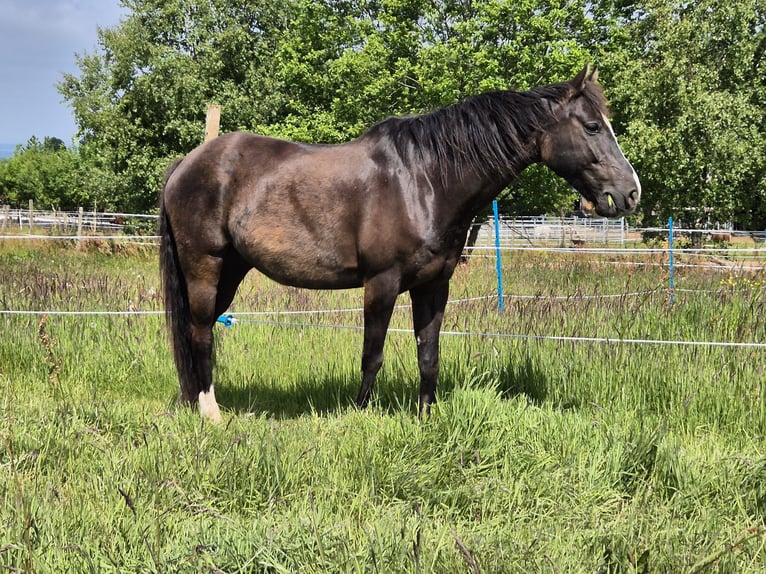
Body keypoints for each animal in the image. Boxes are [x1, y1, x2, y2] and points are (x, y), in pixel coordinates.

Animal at [159, 64, 641, 422]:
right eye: (592, 127)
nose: (629, 193)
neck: (424, 181)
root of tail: (188, 163)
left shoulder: (434, 285)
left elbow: (429, 354)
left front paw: (426, 417)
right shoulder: (382, 283)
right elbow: (372, 354)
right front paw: (358, 414)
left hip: (232, 269)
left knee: (200, 330)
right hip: (205, 266)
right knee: (200, 331)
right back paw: (211, 413)